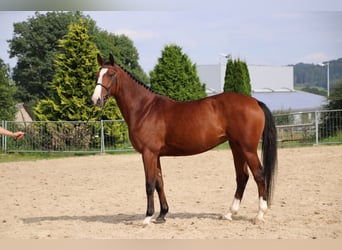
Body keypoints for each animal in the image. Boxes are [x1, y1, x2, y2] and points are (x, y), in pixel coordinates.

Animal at [91, 54, 278, 225]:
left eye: (111, 74)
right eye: (97, 74)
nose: (96, 100)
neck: (144, 108)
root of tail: (255, 102)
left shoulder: (148, 153)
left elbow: (149, 184)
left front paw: (147, 217)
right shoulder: (156, 155)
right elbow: (159, 183)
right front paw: (162, 215)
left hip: (248, 148)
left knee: (259, 175)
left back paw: (259, 215)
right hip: (236, 146)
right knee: (242, 176)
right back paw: (229, 213)